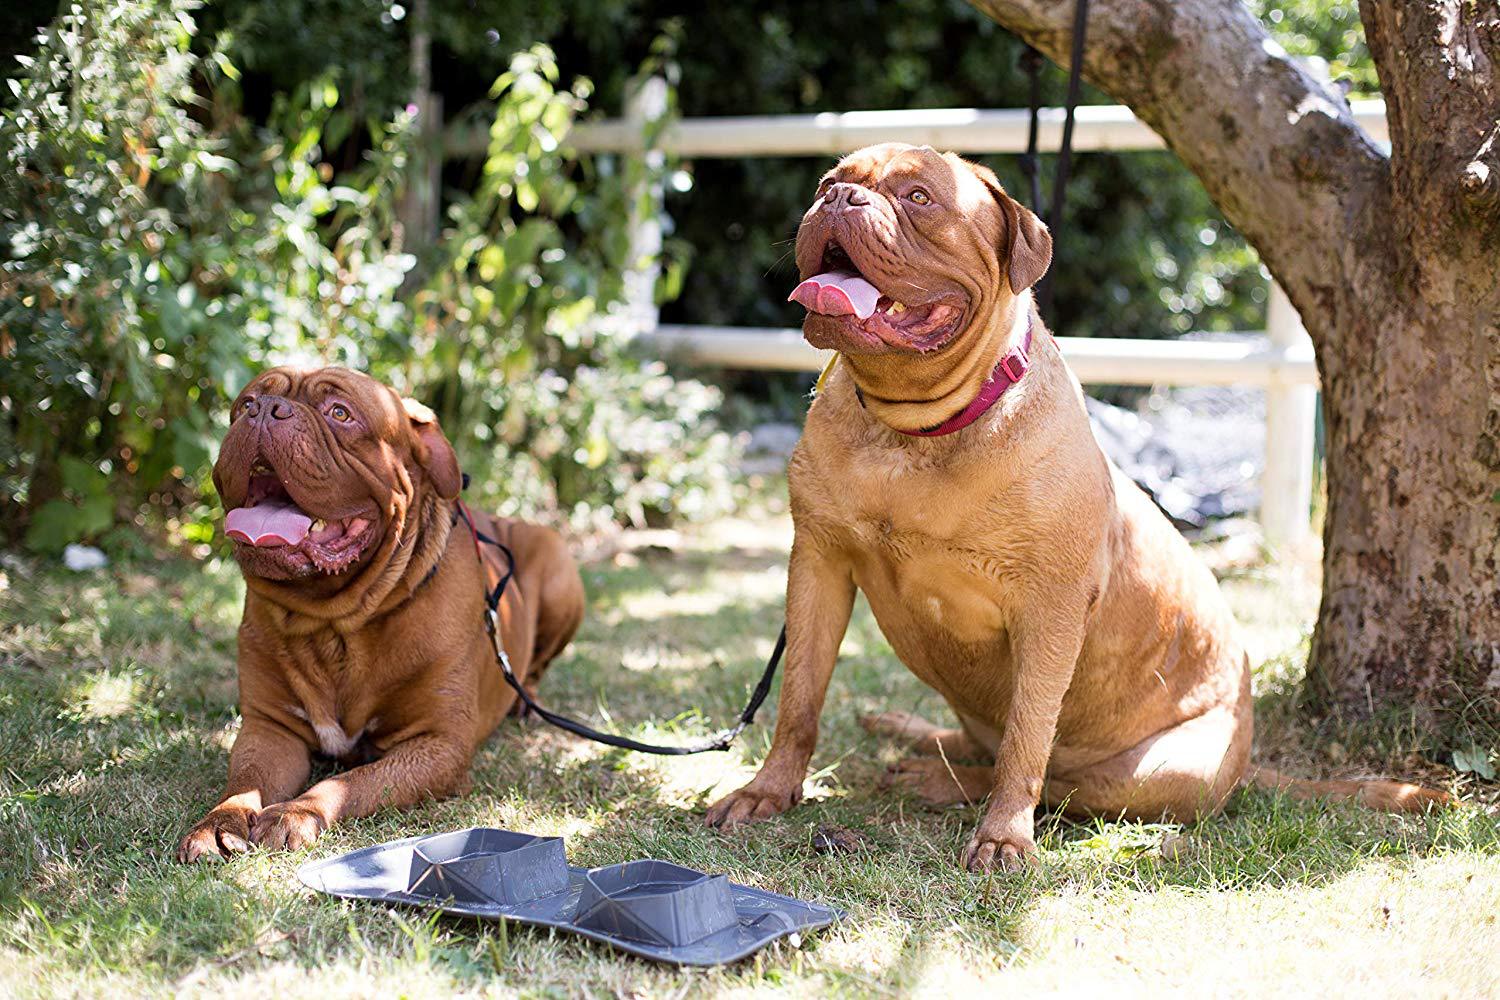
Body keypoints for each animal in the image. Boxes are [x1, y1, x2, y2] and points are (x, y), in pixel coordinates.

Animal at [181, 365, 585, 863]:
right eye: (245, 404)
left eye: (340, 413)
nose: (265, 411)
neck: (331, 622)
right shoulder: (270, 729)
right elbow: (244, 781)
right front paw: (219, 822)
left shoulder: (438, 745)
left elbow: (348, 781)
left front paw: (297, 811)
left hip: (559, 570)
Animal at [708, 144, 1446, 869]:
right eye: (827, 184)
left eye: (919, 197)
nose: (837, 200)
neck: (914, 428)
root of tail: (1246, 770)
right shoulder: (819, 565)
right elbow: (798, 699)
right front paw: (766, 790)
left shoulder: (1049, 608)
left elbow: (1028, 737)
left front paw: (1003, 837)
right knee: (981, 742)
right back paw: (907, 731)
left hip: (1162, 771)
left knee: (1055, 779)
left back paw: (935, 777)